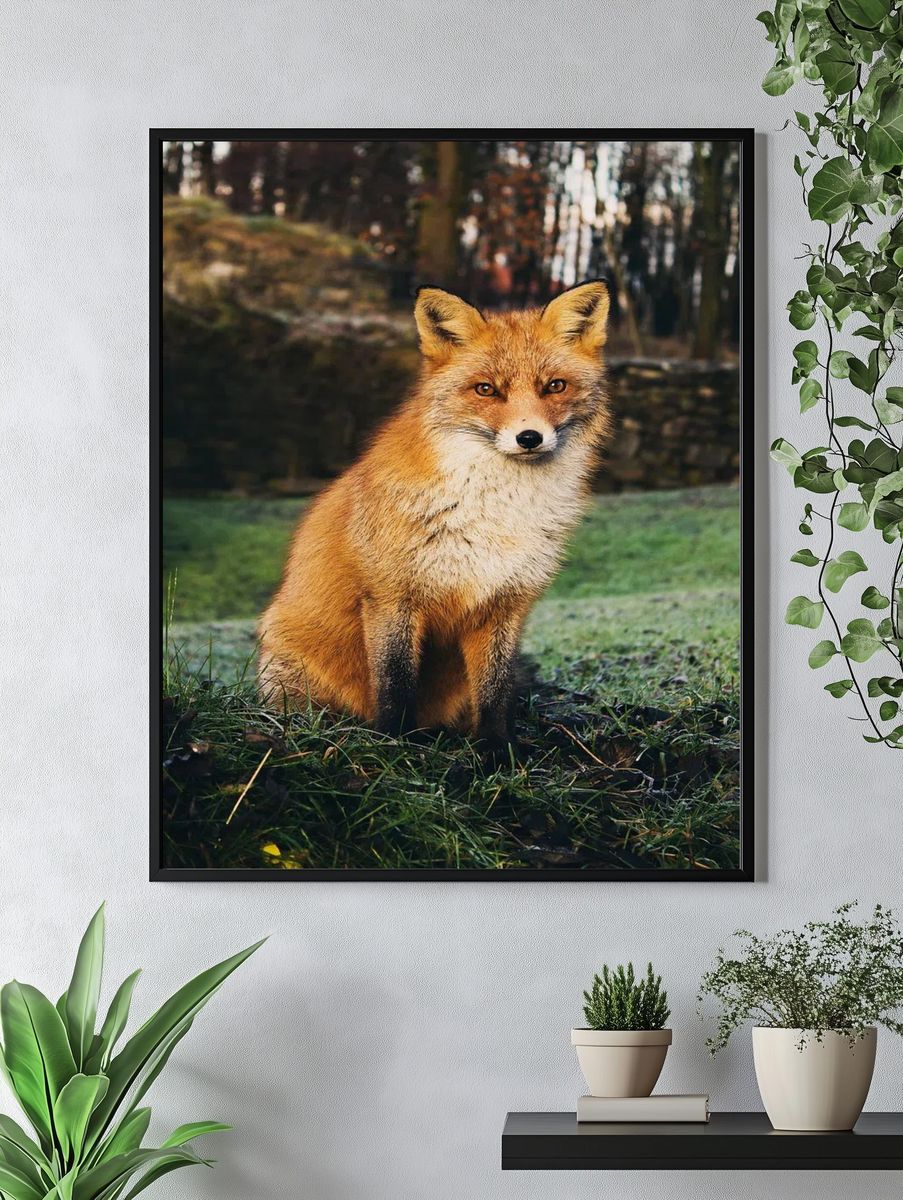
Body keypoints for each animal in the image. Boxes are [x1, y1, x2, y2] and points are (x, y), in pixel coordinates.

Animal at [258, 279, 612, 749]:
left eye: (555, 386)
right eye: (486, 389)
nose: (529, 437)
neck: (494, 513)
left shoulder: (505, 605)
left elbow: (495, 693)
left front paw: (498, 752)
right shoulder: (391, 597)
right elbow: (395, 685)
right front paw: (394, 746)